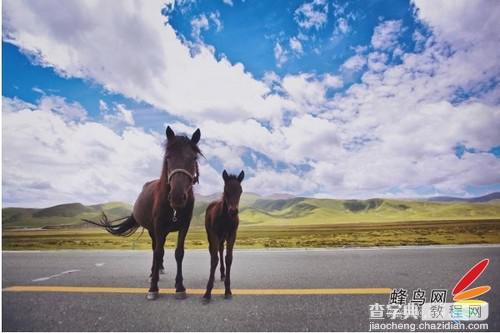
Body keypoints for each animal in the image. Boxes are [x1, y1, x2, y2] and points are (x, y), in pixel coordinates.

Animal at [83, 126, 201, 300]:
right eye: (168, 157)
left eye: (193, 158)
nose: (177, 197)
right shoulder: (158, 227)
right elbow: (157, 252)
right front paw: (153, 287)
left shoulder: (184, 226)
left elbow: (179, 253)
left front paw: (179, 287)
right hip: (153, 230)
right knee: (155, 249)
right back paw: (154, 272)